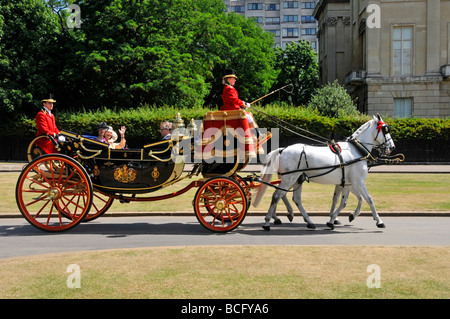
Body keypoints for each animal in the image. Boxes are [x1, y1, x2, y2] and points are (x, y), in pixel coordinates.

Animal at [255, 114, 396, 231]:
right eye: (386, 130)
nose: (392, 147)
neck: (356, 150)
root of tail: (283, 149)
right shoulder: (358, 182)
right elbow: (369, 199)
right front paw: (379, 221)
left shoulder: (347, 184)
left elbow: (343, 201)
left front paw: (334, 219)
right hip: (289, 178)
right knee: (277, 196)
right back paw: (267, 222)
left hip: (297, 179)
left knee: (295, 199)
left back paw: (308, 221)